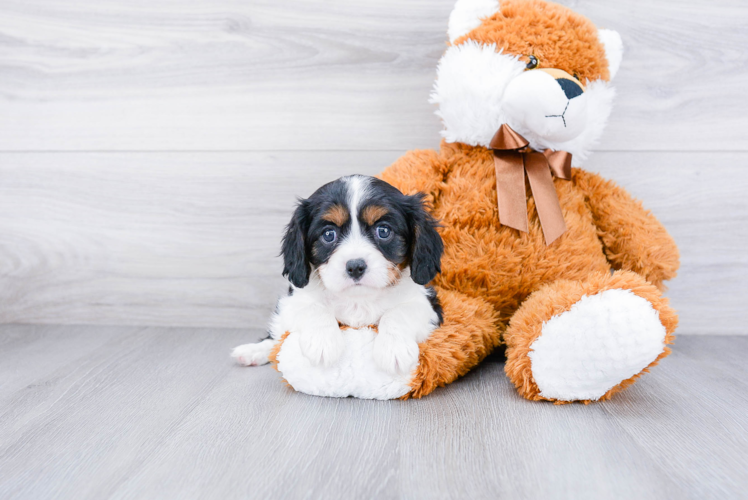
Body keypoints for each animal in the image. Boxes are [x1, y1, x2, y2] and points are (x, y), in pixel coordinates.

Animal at [232, 176, 444, 376]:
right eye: (328, 234)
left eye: (383, 231)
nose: (355, 266)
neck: (357, 300)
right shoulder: (292, 301)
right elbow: (313, 308)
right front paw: (323, 343)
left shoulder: (428, 304)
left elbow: (399, 313)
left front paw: (394, 349)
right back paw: (252, 351)